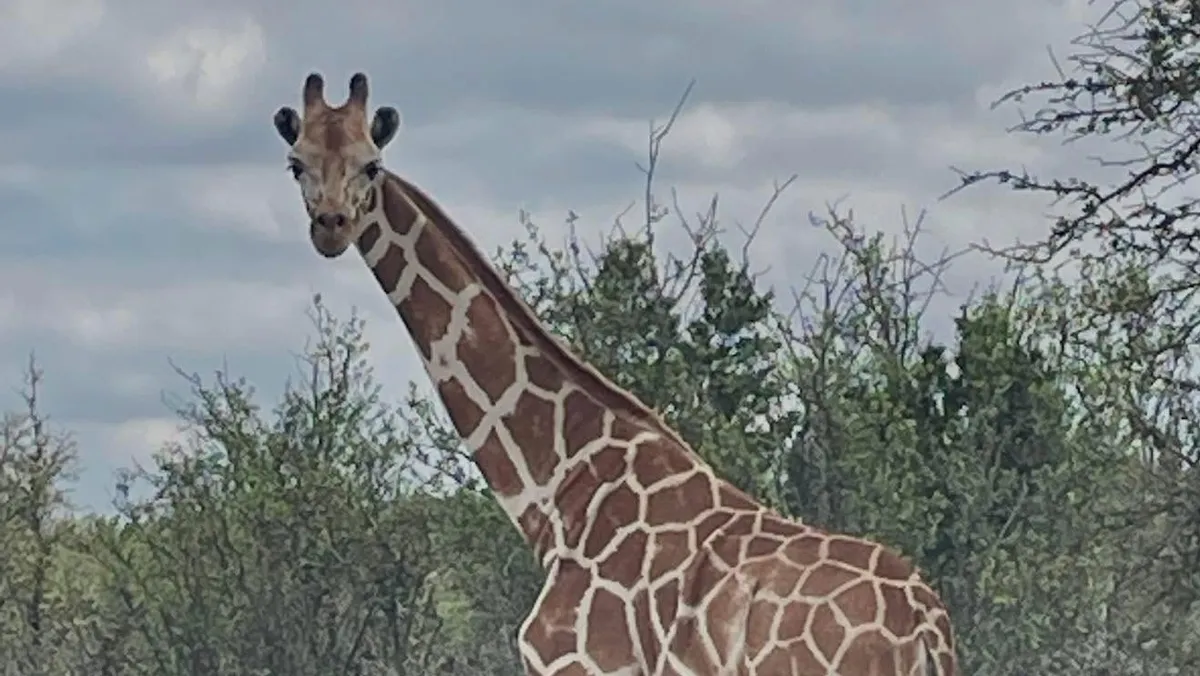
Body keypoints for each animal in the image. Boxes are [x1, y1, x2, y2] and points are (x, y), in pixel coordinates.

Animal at [271, 72, 959, 676]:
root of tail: (926, 629)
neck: (558, 494)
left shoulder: (578, 665)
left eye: (371, 165)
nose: (331, 227)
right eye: (296, 164)